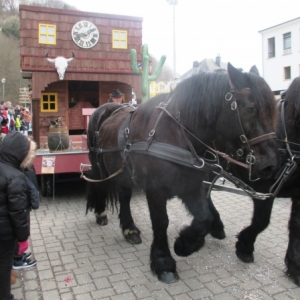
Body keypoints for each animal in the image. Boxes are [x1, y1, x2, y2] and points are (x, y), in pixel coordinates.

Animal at [85, 63, 278, 284]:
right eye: (250, 109)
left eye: (274, 111)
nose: (270, 164)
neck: (177, 134)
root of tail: (106, 108)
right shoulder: (156, 190)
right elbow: (161, 223)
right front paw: (164, 262)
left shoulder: (191, 186)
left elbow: (204, 218)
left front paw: (185, 244)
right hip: (98, 165)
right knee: (100, 185)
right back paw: (102, 213)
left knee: (124, 196)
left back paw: (129, 229)